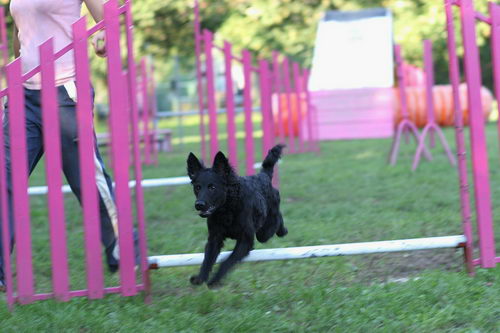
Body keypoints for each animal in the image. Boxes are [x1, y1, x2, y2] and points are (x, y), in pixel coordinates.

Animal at [187, 143, 290, 286]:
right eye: (197, 187)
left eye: (212, 187)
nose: (199, 204)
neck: (227, 210)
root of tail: (263, 175)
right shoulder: (214, 238)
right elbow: (207, 259)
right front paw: (200, 277)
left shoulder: (245, 239)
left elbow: (228, 260)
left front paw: (215, 279)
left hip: (264, 230)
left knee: (276, 221)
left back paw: (283, 230)